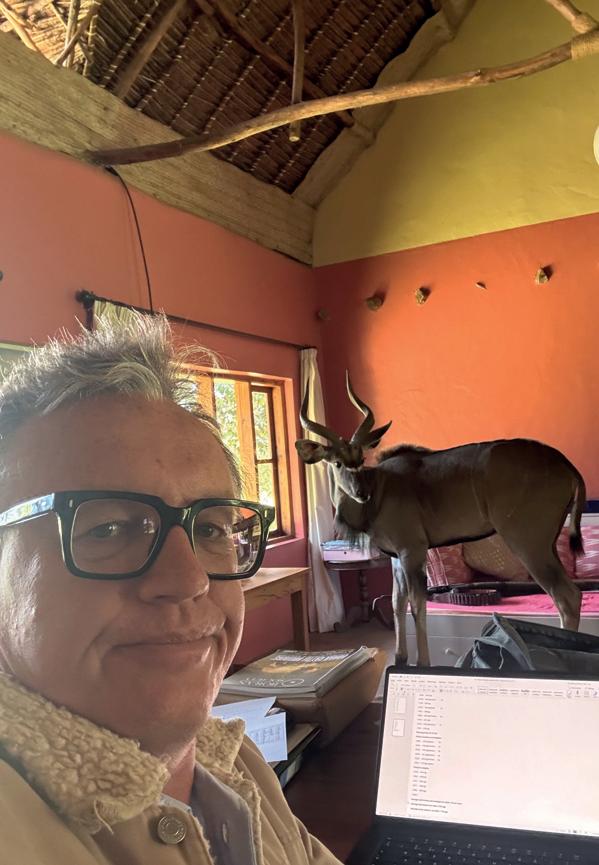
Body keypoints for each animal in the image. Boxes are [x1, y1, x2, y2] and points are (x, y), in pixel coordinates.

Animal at [295, 373, 586, 666]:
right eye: (337, 462)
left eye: (361, 457)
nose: (361, 493)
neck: (380, 488)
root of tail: (566, 466)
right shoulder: (396, 558)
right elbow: (397, 603)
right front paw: (399, 659)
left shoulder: (412, 551)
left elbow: (417, 605)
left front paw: (421, 664)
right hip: (546, 544)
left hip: (527, 542)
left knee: (567, 597)